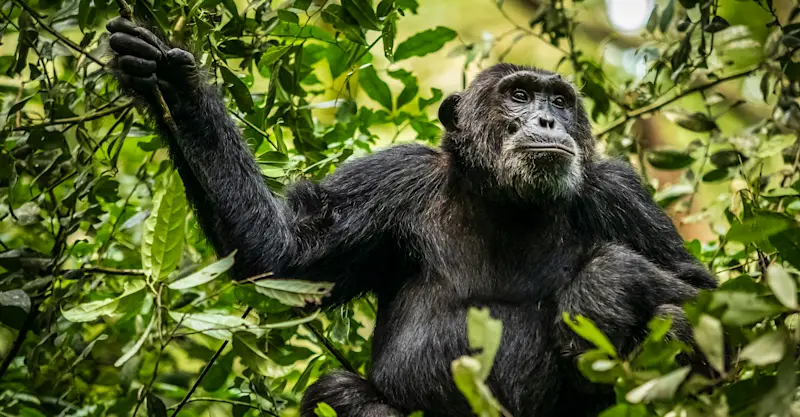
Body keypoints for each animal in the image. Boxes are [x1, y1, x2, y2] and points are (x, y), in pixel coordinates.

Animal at [106, 17, 716, 417]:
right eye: (519, 95)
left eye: (561, 101)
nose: (546, 119)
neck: (505, 199)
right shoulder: (392, 181)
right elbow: (281, 253)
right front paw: (172, 80)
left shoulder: (618, 193)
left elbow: (701, 294)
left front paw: (599, 287)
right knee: (334, 389)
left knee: (673, 319)